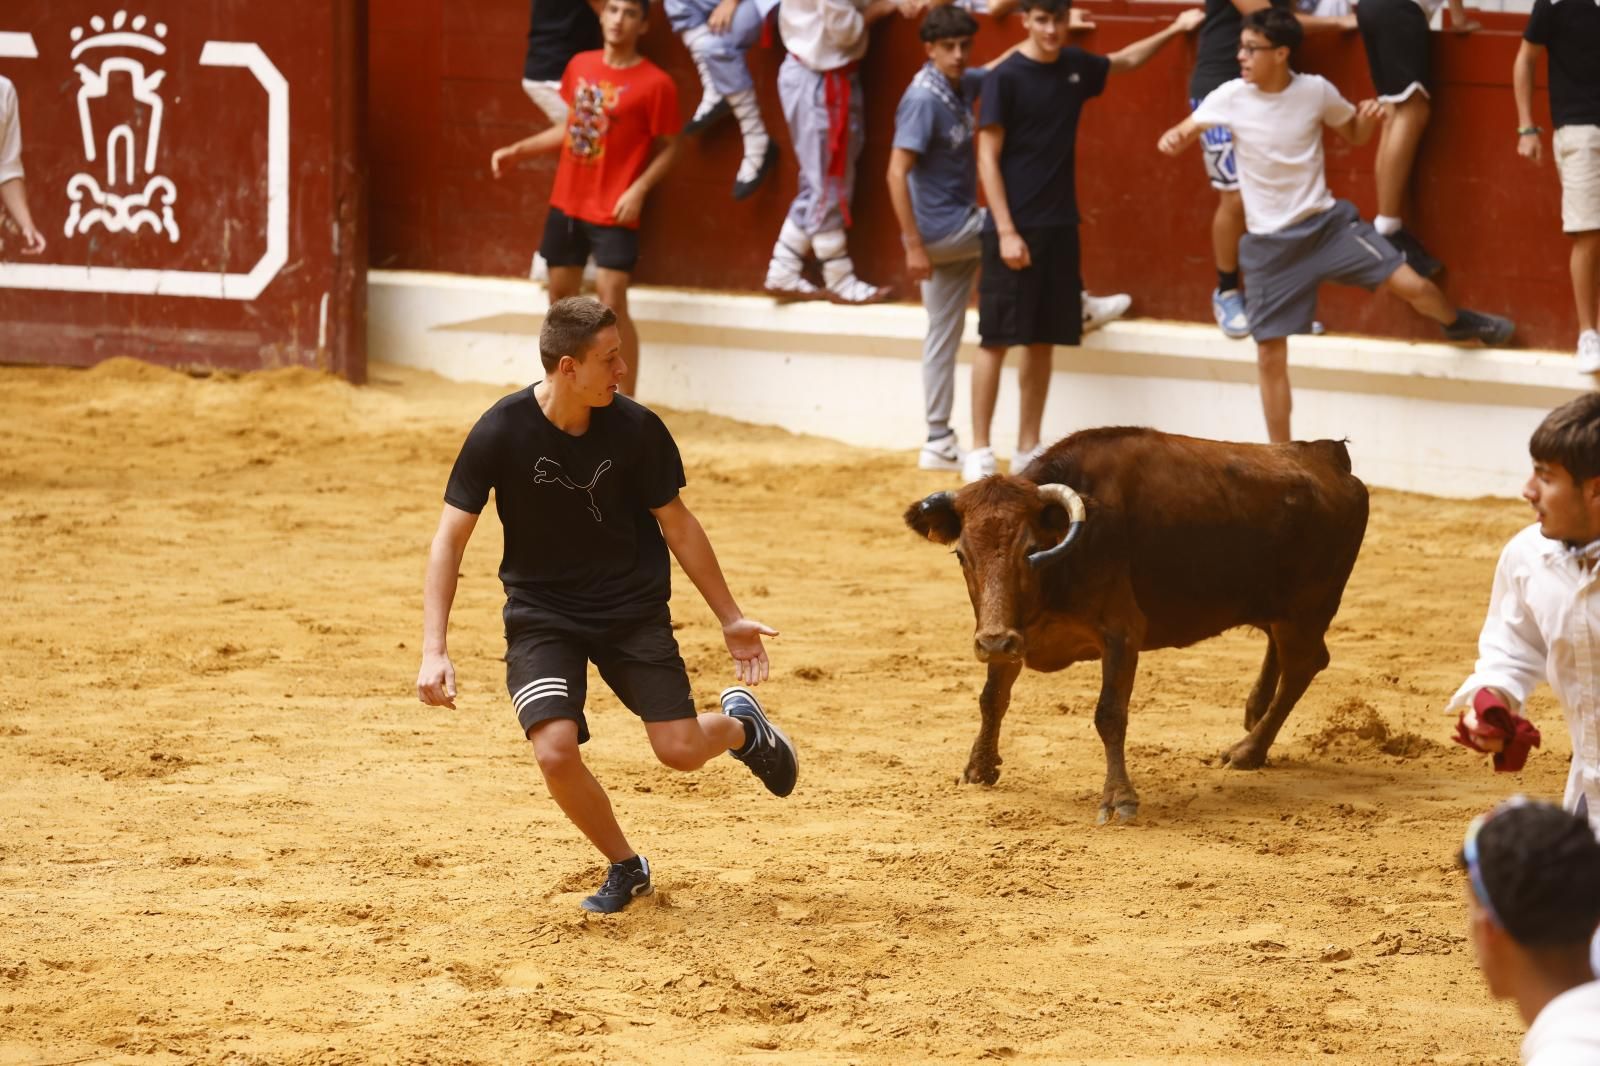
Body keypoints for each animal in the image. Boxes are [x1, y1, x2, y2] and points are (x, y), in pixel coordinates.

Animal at [908, 422, 1369, 819]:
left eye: (1031, 549)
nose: (991, 641)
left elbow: (1110, 714)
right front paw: (979, 768)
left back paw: (1247, 751)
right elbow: (992, 698)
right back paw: (1253, 716)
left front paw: (1119, 798)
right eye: (961, 555)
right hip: (1283, 610)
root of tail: (1327, 456)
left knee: (1302, 667)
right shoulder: (1015, 633)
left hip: (1307, 611)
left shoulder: (1121, 634)